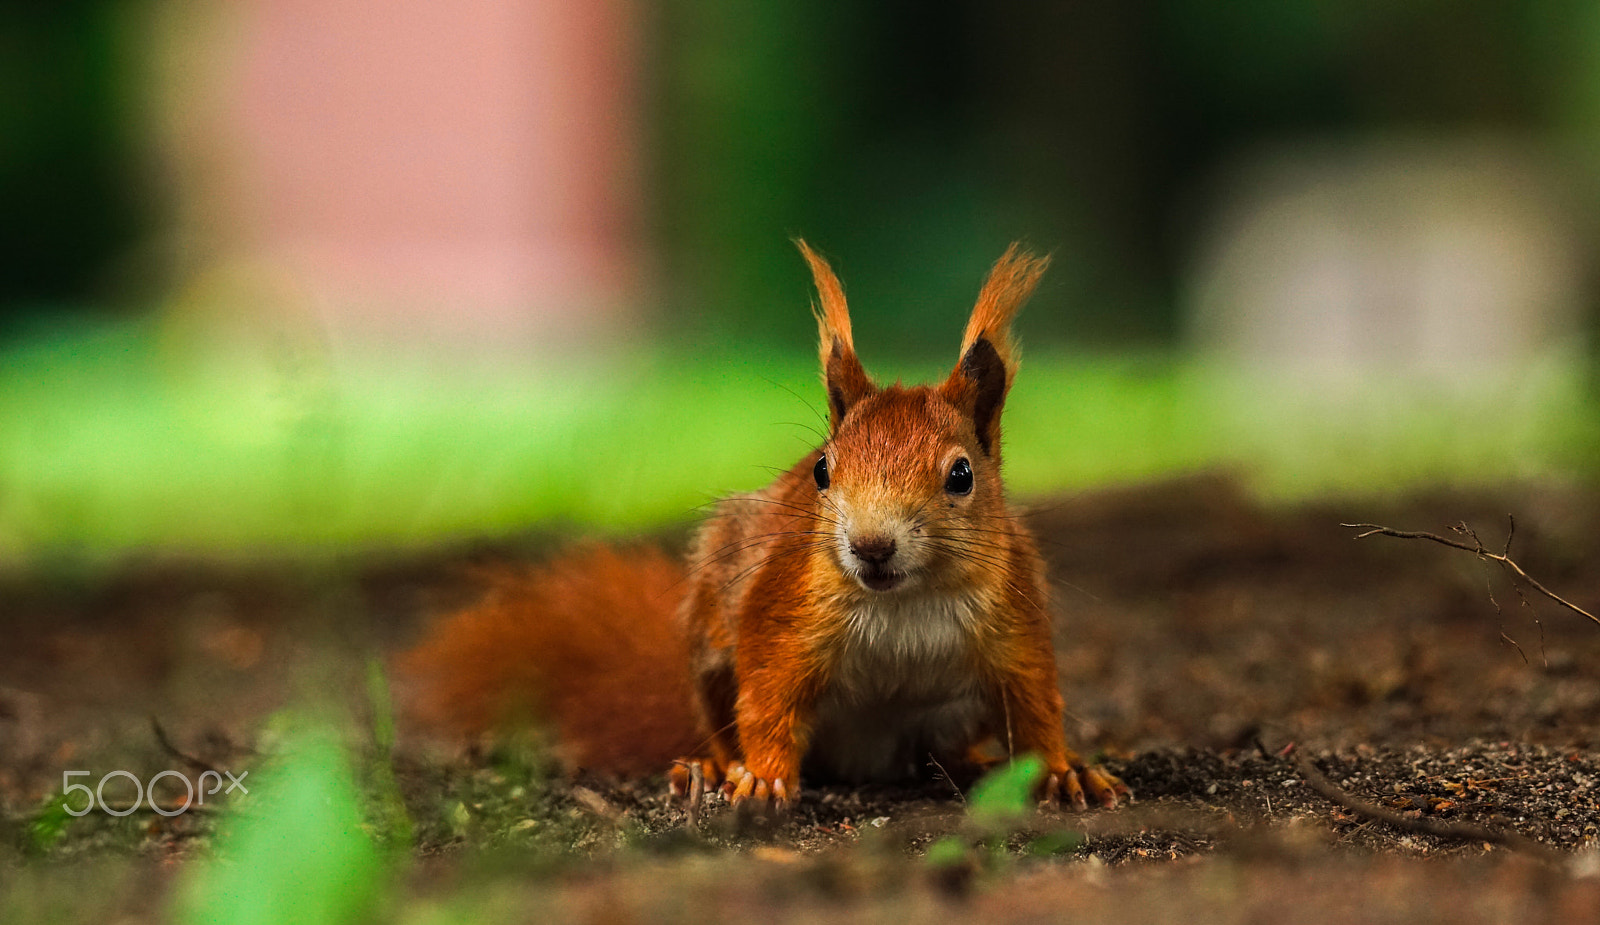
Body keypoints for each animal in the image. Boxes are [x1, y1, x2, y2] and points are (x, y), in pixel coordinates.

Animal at [402, 241, 1128, 813]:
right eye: (821, 470)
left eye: (961, 475)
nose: (870, 546)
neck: (906, 600)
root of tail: (869, 761)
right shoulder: (785, 618)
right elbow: (768, 703)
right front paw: (763, 780)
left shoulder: (1015, 624)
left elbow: (1035, 706)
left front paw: (1066, 771)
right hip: (709, 652)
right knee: (723, 727)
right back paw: (709, 768)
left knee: (946, 753)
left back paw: (975, 764)